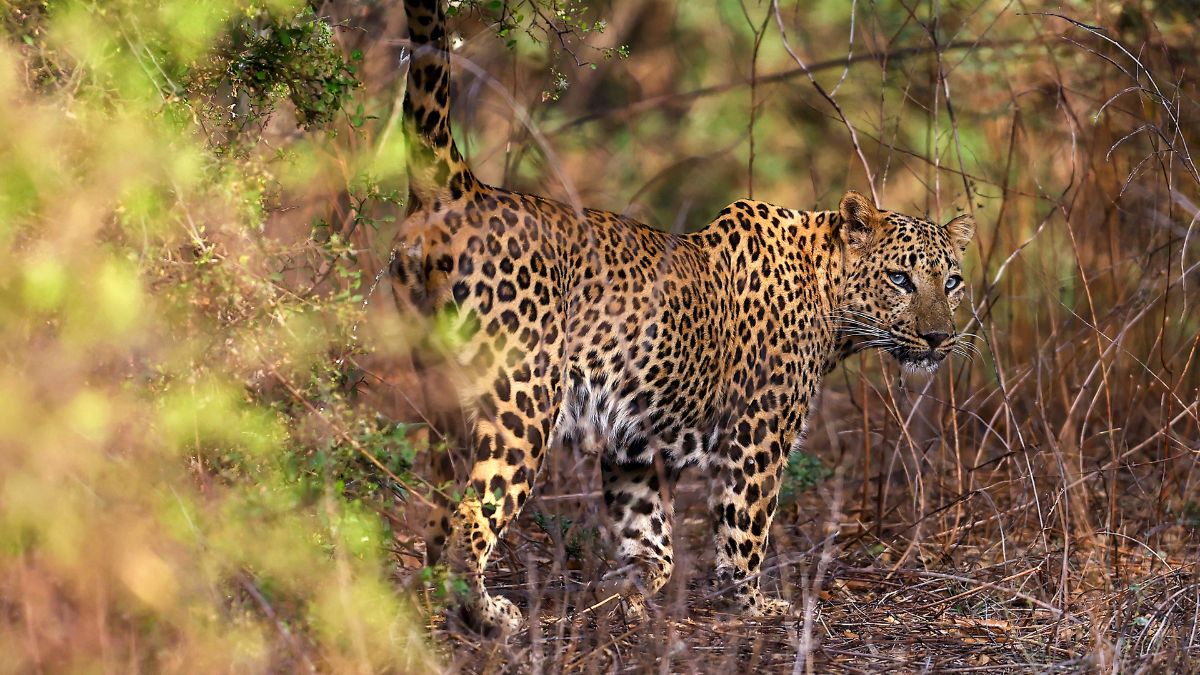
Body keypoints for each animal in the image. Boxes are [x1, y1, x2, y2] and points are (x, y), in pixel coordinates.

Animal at [392, 0, 976, 635]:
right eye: (899, 279)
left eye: (951, 282)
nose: (938, 337)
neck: (827, 297)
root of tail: (467, 190)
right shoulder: (757, 432)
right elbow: (746, 524)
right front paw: (751, 604)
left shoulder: (631, 441)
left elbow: (649, 531)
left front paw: (628, 587)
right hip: (522, 401)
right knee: (471, 515)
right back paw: (486, 612)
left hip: (439, 395)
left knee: (437, 509)